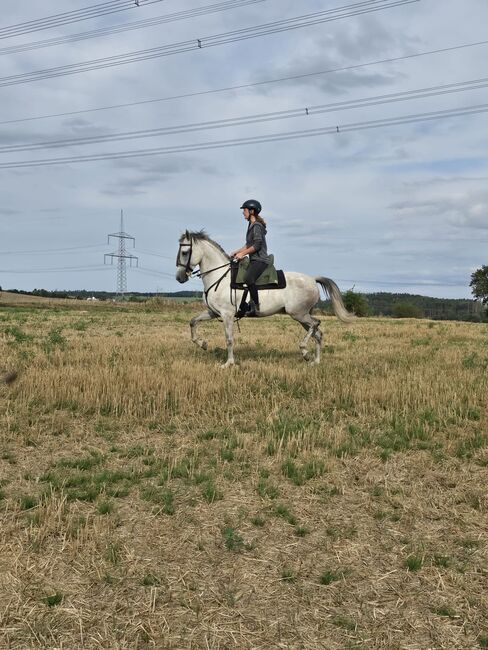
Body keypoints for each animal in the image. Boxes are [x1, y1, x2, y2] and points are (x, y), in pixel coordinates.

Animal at [177, 230, 352, 368]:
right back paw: (315, 360)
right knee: (318, 333)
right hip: (302, 316)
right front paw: (203, 344)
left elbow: (229, 339)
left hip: (299, 314)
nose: (179, 278)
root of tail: (312, 279)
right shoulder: (213, 312)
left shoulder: (227, 315)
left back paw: (305, 351)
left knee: (316, 324)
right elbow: (193, 322)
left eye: (185, 252)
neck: (220, 277)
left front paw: (228, 363)